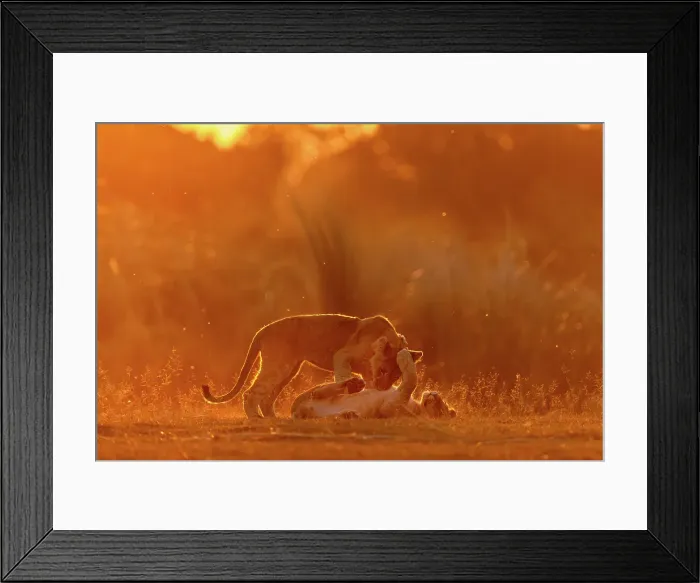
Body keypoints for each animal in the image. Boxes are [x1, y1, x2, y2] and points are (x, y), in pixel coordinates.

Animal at [201, 313, 422, 419]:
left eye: (395, 377)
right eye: (384, 370)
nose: (383, 388)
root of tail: (262, 330)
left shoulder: (368, 371)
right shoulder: (342, 355)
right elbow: (343, 374)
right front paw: (351, 387)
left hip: (289, 370)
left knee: (267, 398)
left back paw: (273, 418)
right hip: (279, 366)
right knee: (251, 393)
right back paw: (255, 417)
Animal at [291, 347, 457, 420]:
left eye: (441, 407)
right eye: (444, 403)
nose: (434, 394)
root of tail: (296, 411)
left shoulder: (389, 408)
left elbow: (411, 380)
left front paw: (403, 356)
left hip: (313, 409)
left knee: (319, 399)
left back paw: (350, 410)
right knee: (322, 392)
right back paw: (353, 386)